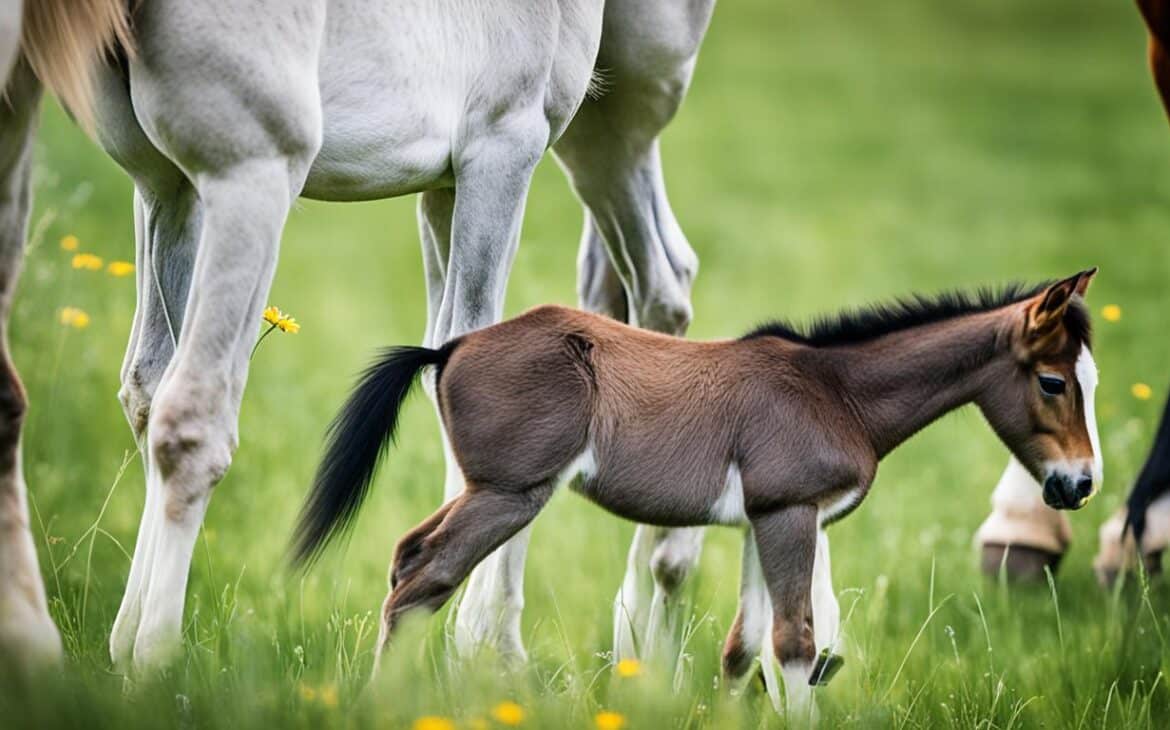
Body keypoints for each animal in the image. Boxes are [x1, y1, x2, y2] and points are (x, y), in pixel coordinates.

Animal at [290, 267, 1095, 711]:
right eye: (1054, 382)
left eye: (1090, 379)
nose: (1079, 484)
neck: (835, 391)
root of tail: (450, 346)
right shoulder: (789, 514)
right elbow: (794, 644)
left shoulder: (759, 522)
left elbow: (743, 648)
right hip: (510, 494)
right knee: (422, 581)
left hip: (486, 493)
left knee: (407, 558)